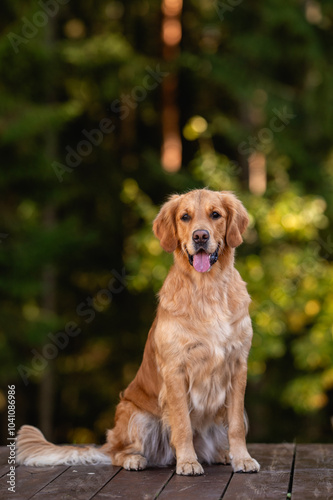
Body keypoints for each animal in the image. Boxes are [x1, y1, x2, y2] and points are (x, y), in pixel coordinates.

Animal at [16, 189, 260, 474]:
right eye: (185, 217)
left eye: (215, 214)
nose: (200, 236)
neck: (207, 289)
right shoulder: (175, 369)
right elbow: (182, 425)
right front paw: (188, 462)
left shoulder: (238, 365)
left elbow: (236, 425)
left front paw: (242, 458)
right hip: (135, 415)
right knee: (117, 452)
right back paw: (135, 459)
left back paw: (221, 454)